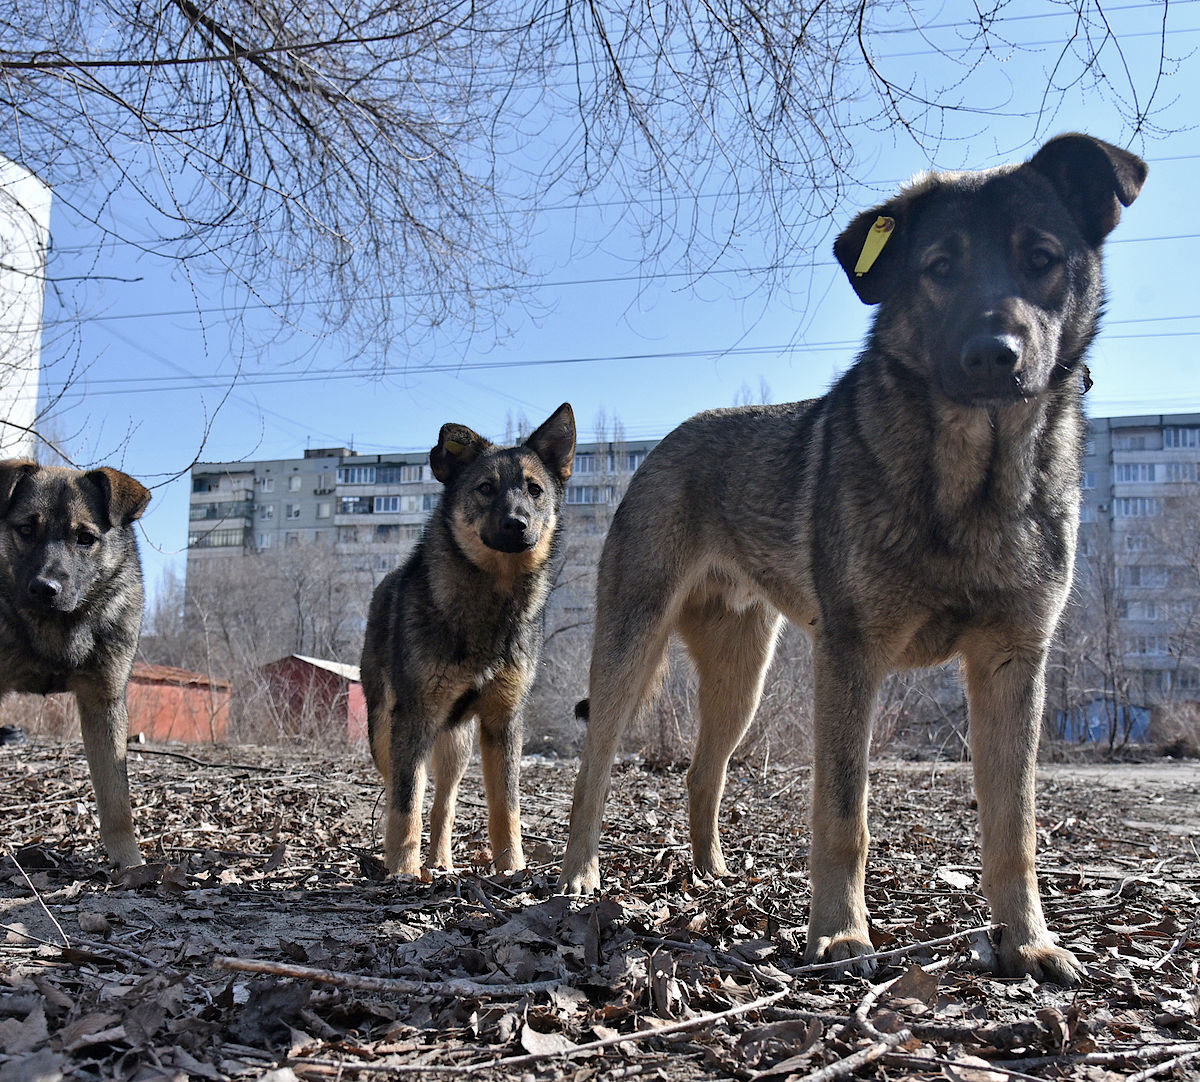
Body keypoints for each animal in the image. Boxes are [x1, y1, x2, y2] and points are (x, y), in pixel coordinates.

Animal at [0, 460, 152, 868]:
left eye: (85, 538)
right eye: (26, 529)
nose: (44, 589)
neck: (57, 626)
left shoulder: (104, 702)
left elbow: (116, 801)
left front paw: (130, 864)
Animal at [360, 403, 576, 878]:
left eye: (534, 489)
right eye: (485, 488)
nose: (517, 524)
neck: (492, 602)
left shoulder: (504, 722)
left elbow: (506, 808)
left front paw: (512, 869)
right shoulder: (414, 718)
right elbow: (405, 805)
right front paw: (402, 873)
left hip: (456, 747)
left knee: (444, 806)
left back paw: (441, 863)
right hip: (386, 733)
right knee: (407, 790)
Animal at [556, 131, 1147, 988]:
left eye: (1041, 258)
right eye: (939, 267)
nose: (992, 356)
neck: (971, 485)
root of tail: (665, 444)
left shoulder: (1013, 665)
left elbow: (1015, 828)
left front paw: (1028, 941)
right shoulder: (851, 660)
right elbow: (843, 817)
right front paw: (840, 936)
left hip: (742, 678)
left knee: (703, 770)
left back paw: (711, 876)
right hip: (630, 651)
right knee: (594, 771)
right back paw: (578, 879)